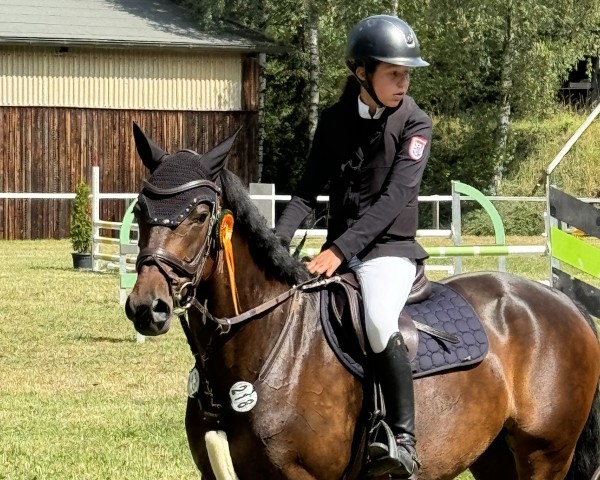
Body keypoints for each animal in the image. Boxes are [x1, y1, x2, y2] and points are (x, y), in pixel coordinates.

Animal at [125, 124, 600, 480]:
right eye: (141, 209)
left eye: (200, 214)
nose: (147, 307)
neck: (265, 346)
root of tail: (563, 302)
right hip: (496, 457)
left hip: (545, 455)